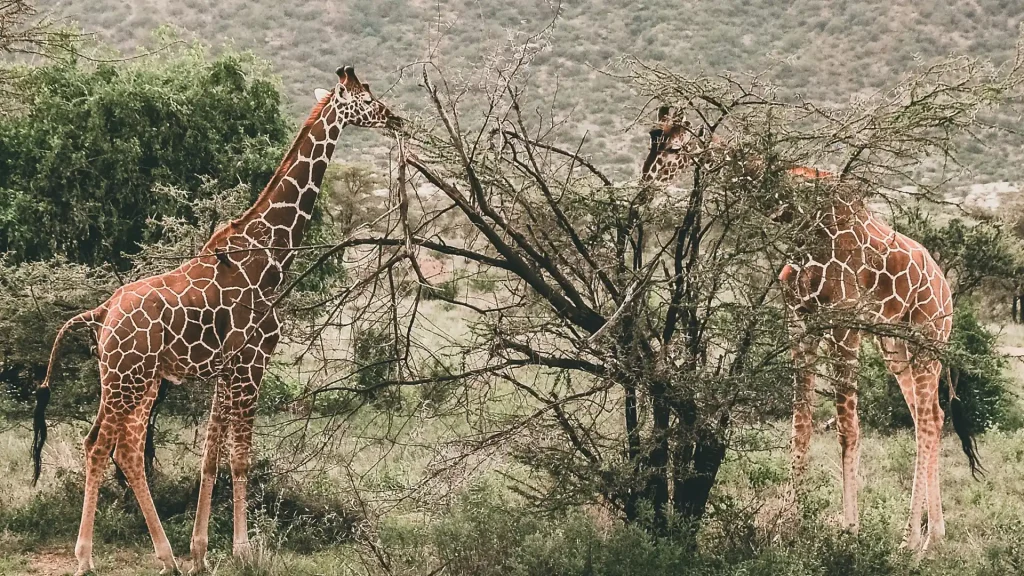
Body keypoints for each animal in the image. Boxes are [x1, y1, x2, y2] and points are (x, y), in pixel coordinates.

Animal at [33, 65, 399, 569]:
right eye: (365, 98)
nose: (396, 118)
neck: (270, 254)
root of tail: (102, 313)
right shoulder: (251, 361)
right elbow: (240, 457)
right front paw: (243, 550)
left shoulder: (225, 370)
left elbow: (210, 456)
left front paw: (201, 551)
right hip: (130, 379)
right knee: (105, 445)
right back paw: (93, 557)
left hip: (130, 379)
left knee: (116, 447)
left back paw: (164, 556)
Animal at [638, 106, 983, 545]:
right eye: (652, 138)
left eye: (676, 147)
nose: (645, 183)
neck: (801, 221)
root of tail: (946, 289)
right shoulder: (800, 324)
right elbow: (799, 427)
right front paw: (787, 529)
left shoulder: (843, 325)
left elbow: (847, 429)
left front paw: (849, 530)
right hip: (896, 347)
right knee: (932, 418)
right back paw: (933, 537)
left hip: (927, 341)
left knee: (925, 421)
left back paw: (910, 541)